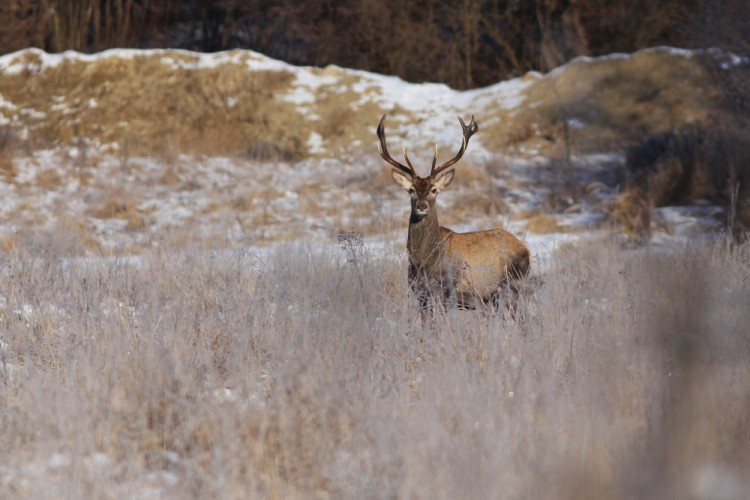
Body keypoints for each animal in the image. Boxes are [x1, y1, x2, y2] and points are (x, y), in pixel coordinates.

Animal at [378, 114, 532, 318]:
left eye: (434, 190)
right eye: (411, 190)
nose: (422, 206)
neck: (425, 261)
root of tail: (527, 249)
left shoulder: (447, 290)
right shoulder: (420, 294)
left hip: (514, 284)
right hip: (494, 296)